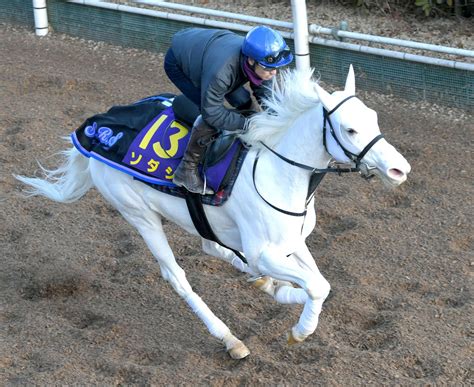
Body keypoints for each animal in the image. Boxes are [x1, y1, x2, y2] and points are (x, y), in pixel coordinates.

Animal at [15, 66, 412, 360]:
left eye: (374, 118)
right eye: (350, 128)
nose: (399, 169)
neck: (277, 172)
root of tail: (91, 130)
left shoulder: (291, 243)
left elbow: (321, 285)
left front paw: (284, 293)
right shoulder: (264, 251)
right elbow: (314, 286)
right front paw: (299, 330)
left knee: (211, 247)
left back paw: (261, 283)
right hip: (139, 215)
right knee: (176, 275)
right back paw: (229, 338)